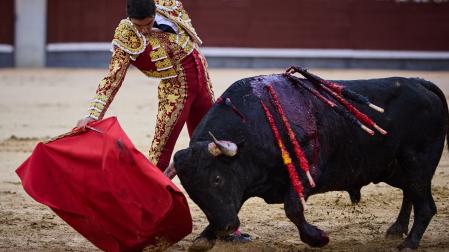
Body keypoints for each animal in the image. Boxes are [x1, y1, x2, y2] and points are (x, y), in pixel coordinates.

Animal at [171, 72, 444, 251]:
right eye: (191, 191)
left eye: (217, 179)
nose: (225, 228)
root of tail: (420, 83)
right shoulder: (245, 184)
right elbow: (234, 204)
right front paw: (205, 237)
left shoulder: (308, 171)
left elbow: (293, 207)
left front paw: (318, 238)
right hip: (395, 168)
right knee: (411, 193)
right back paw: (396, 230)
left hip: (417, 162)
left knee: (426, 205)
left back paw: (409, 243)